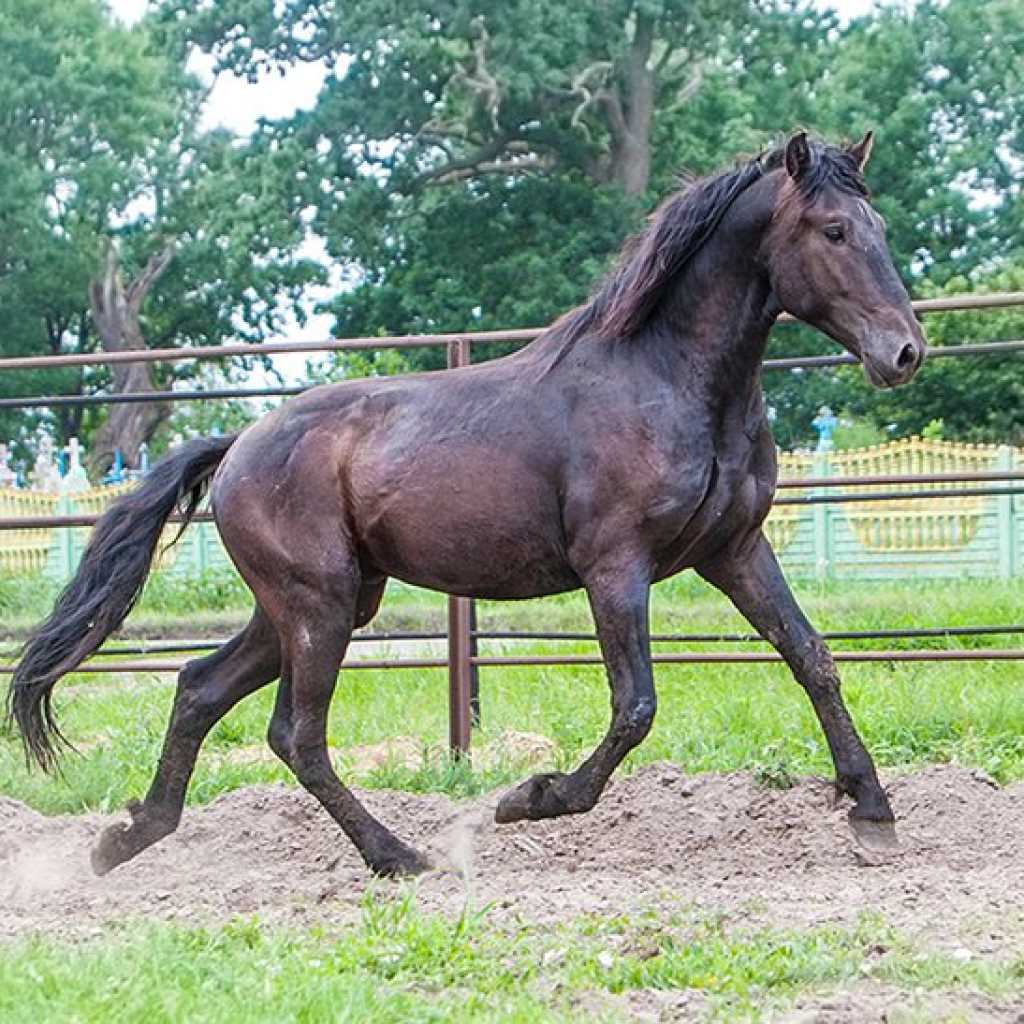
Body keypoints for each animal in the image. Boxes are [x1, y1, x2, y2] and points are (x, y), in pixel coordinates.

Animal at [4, 132, 925, 876]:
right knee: (294, 736)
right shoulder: (615, 566)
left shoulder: (733, 551)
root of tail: (238, 447)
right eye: (834, 231)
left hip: (312, 606)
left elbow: (812, 658)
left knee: (199, 689)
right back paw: (400, 857)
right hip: (319, 606)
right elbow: (635, 707)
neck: (670, 381)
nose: (905, 353)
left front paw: (873, 813)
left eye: (878, 226)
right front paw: (531, 797)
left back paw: (126, 838)